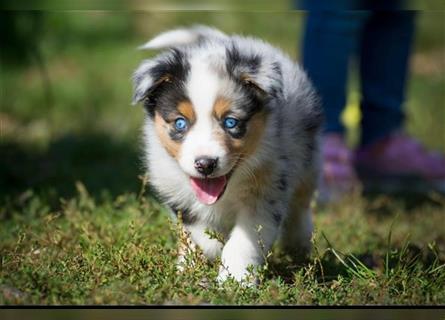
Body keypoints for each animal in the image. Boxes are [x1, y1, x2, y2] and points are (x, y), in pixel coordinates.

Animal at [130, 26, 320, 284]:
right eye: (180, 123)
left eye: (231, 122)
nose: (205, 164)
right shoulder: (175, 190)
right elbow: (200, 233)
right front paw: (200, 259)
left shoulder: (266, 191)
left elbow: (242, 242)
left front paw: (236, 281)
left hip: (307, 162)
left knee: (300, 204)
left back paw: (298, 245)